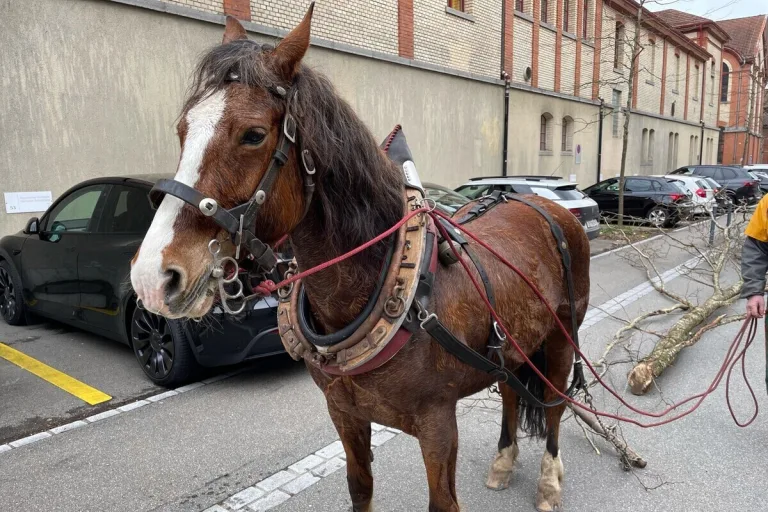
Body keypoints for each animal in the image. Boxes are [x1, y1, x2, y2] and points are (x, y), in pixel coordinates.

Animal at [130, 6, 590, 511]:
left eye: (253, 135)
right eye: (183, 130)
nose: (152, 277)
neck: (388, 285)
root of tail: (545, 205)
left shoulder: (438, 425)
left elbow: (442, 501)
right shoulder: (345, 414)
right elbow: (360, 488)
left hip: (563, 336)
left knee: (554, 404)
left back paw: (549, 481)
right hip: (513, 344)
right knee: (510, 389)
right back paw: (504, 462)